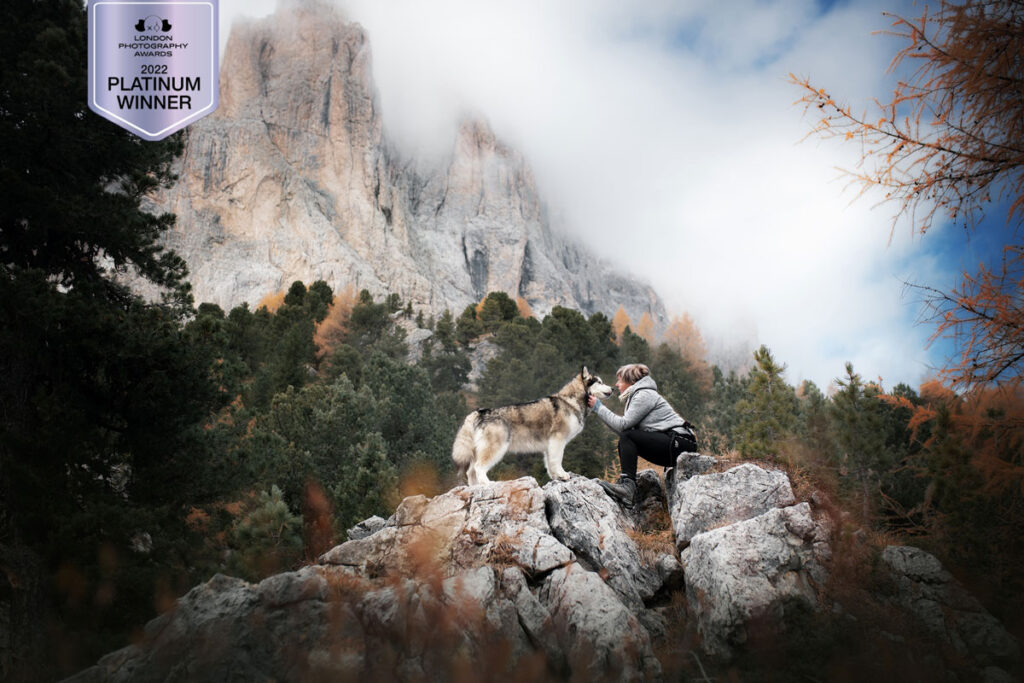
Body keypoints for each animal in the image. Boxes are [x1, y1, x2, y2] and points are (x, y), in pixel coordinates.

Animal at [452, 368, 610, 485]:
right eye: (600, 382)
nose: (613, 389)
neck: (571, 401)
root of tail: (479, 412)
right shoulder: (558, 440)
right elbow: (557, 460)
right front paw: (563, 474)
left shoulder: (550, 445)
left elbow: (550, 463)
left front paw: (555, 477)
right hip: (494, 448)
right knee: (478, 468)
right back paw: (487, 484)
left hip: (478, 450)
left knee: (470, 471)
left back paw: (475, 488)